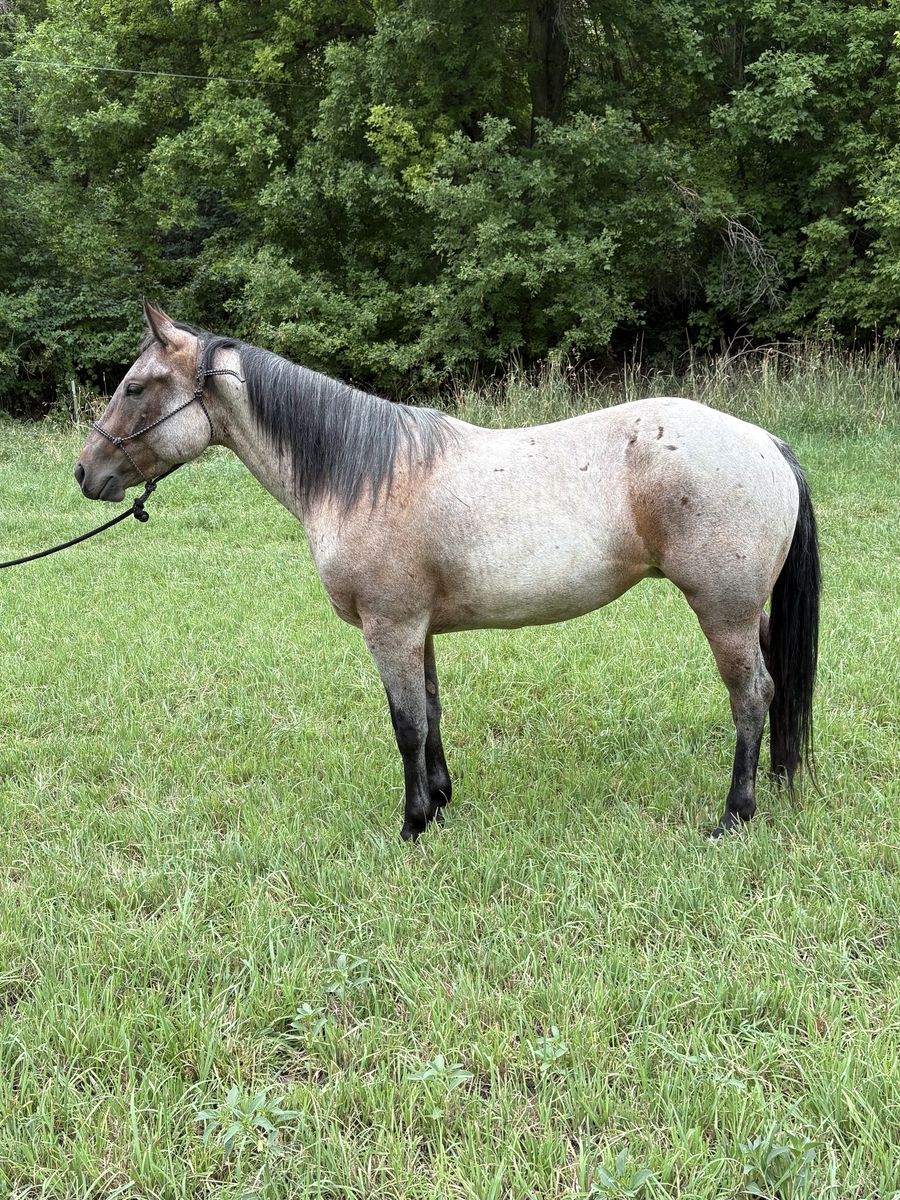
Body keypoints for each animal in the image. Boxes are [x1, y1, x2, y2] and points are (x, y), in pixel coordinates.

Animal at [75, 302, 820, 841]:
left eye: (135, 386)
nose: (86, 472)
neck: (363, 478)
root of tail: (765, 441)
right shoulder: (419, 630)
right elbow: (430, 712)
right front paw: (439, 801)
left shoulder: (390, 629)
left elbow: (405, 723)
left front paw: (412, 825)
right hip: (746, 611)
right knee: (774, 687)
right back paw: (778, 785)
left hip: (722, 611)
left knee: (751, 695)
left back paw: (734, 815)